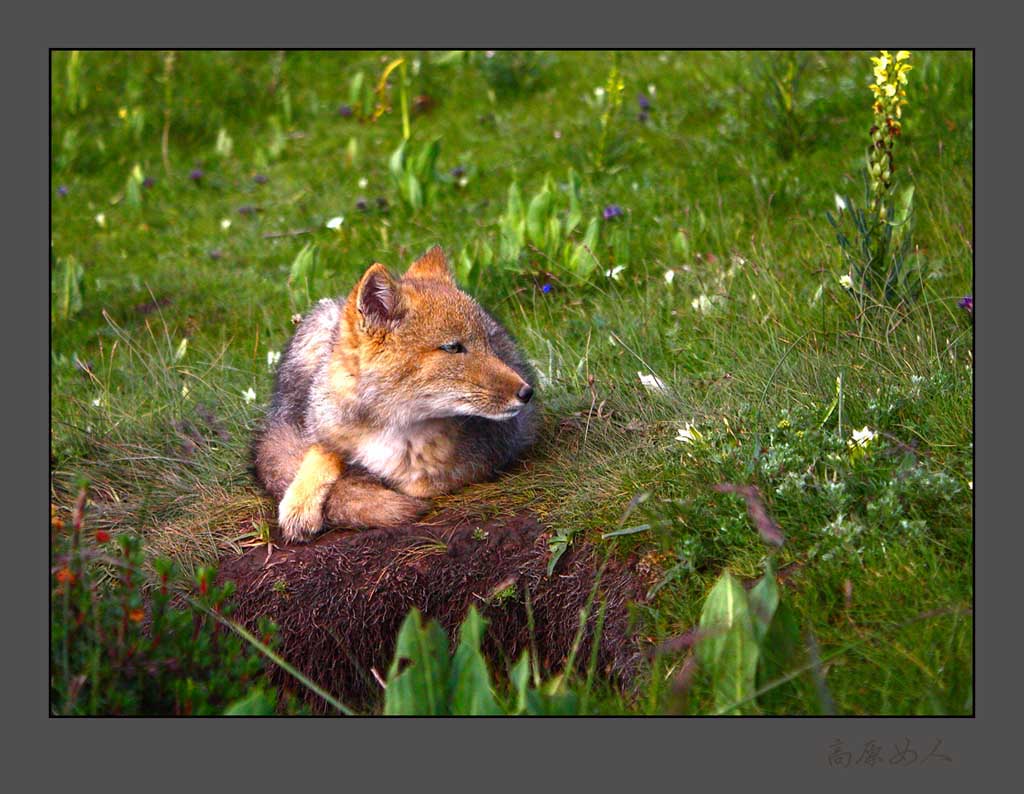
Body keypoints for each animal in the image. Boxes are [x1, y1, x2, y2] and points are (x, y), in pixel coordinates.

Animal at [252, 244, 540, 545]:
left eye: (488, 342)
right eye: (453, 347)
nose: (527, 392)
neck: (389, 427)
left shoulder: (487, 456)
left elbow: (419, 484)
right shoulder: (324, 430)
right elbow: (318, 455)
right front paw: (300, 504)